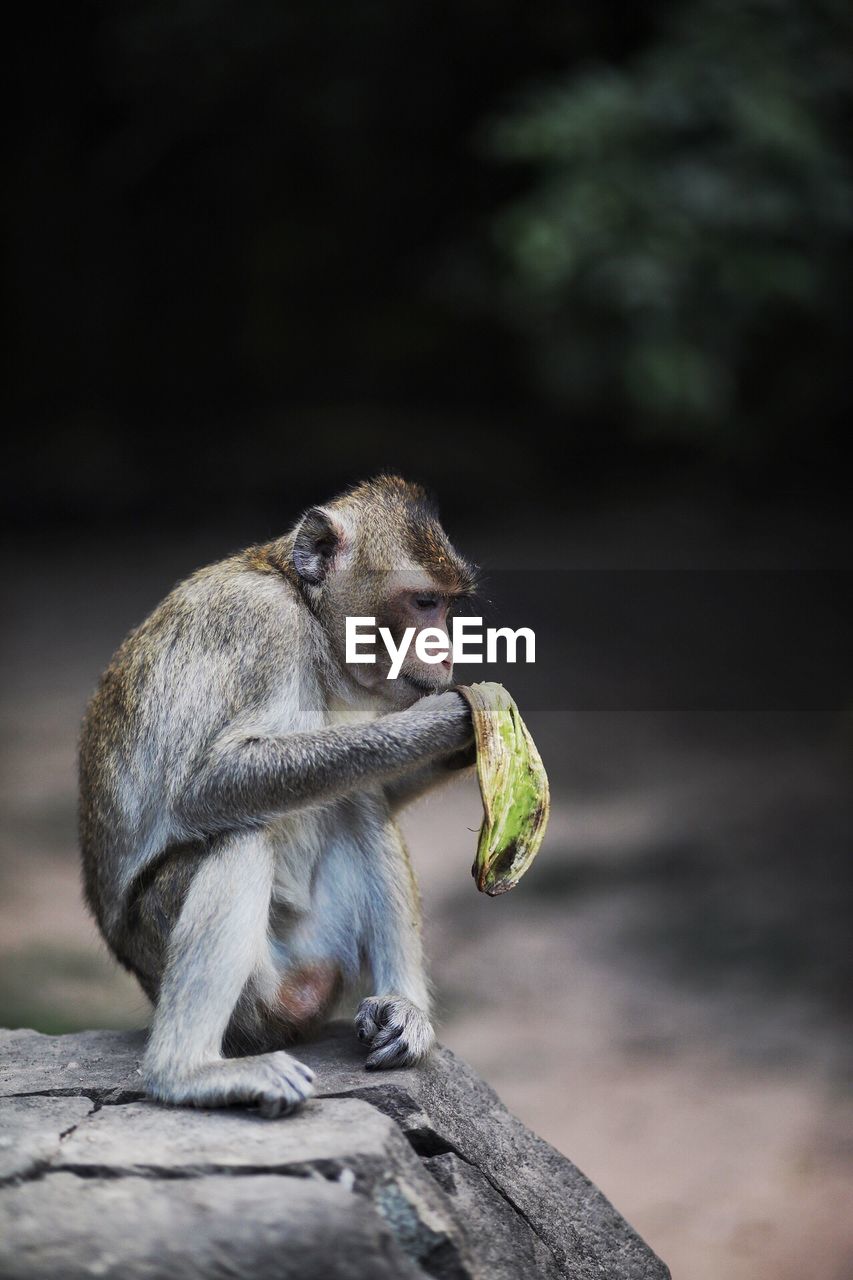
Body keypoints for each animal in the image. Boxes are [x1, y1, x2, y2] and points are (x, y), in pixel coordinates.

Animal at [78, 476, 479, 1116]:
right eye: (422, 603)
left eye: (449, 605)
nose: (445, 653)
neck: (305, 610)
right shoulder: (261, 627)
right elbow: (206, 785)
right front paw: (444, 722)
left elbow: (373, 786)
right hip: (243, 989)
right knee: (242, 834)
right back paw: (186, 1072)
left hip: (319, 952)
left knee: (356, 802)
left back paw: (403, 1010)